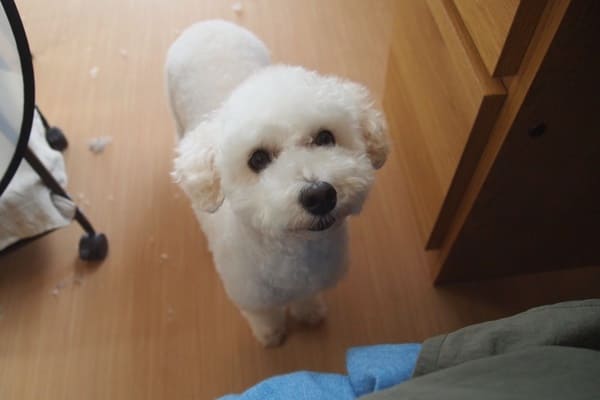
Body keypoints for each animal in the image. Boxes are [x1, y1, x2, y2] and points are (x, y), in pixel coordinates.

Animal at [166, 20, 389, 346]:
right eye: (257, 159)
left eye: (325, 137)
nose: (319, 195)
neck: (295, 253)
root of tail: (207, 24)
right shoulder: (251, 295)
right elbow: (264, 315)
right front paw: (270, 334)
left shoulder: (311, 283)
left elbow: (307, 299)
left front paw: (309, 312)